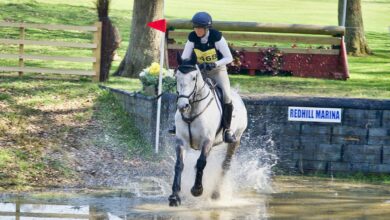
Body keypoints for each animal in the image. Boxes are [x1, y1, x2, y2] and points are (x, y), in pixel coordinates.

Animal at [168, 56, 248, 206]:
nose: (182, 106)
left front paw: (197, 190)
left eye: (194, 78)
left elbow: (201, 163)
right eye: (177, 76)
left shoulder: (207, 140)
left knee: (225, 165)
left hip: (236, 139)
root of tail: (238, 96)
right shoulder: (181, 141)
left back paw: (216, 194)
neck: (193, 109)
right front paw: (175, 196)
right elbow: (179, 165)